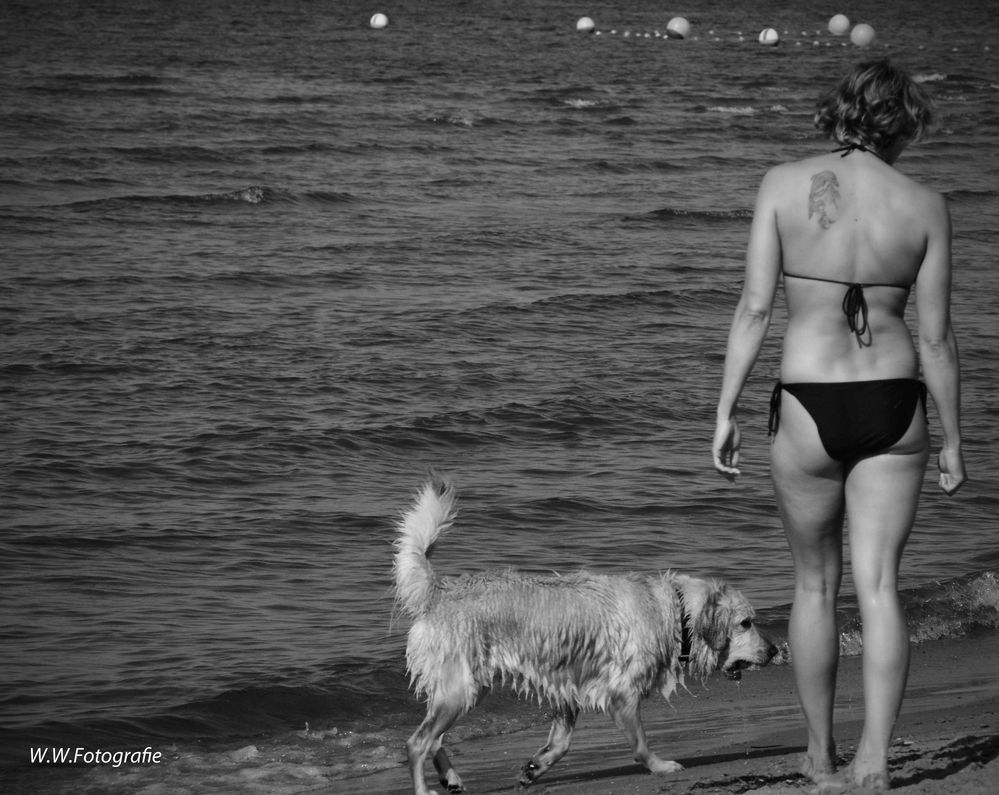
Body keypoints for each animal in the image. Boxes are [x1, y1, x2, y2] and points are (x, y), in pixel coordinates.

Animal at [394, 478, 776, 795]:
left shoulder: (566, 687)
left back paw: (451, 778)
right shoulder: (622, 691)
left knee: (434, 739)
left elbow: (562, 743)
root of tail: (439, 591)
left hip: (464, 687)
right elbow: (640, 744)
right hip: (461, 687)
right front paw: (660, 766)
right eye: (746, 623)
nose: (775, 651)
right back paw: (425, 789)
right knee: (417, 743)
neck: (675, 610)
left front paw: (534, 768)